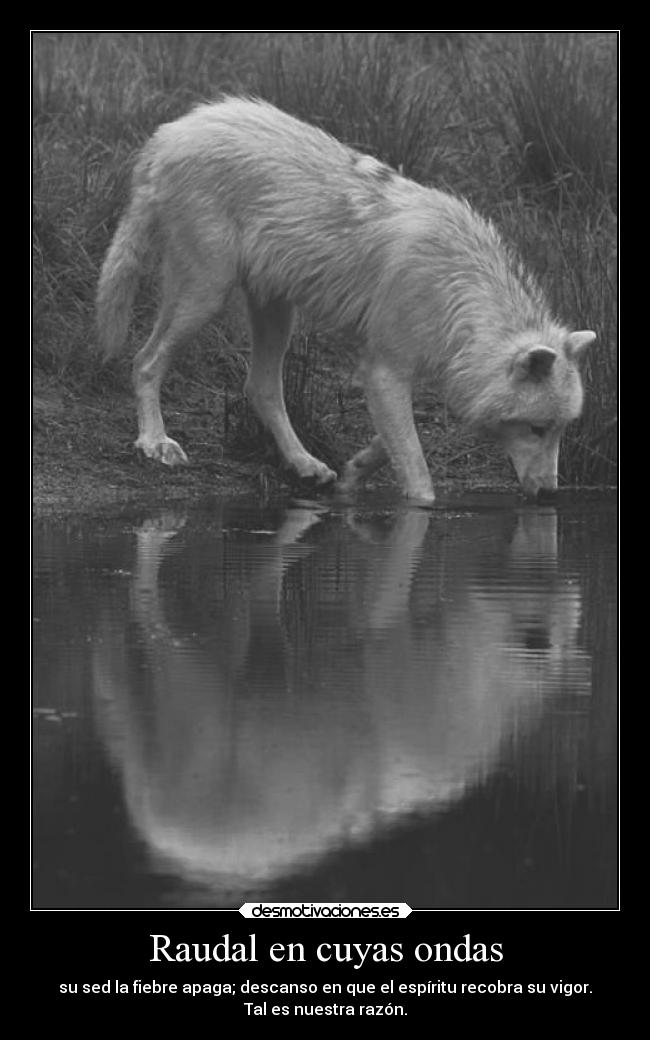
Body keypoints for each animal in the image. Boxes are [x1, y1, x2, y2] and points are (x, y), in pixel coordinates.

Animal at [96, 97, 594, 503]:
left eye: (560, 431)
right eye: (536, 429)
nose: (550, 494)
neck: (454, 286)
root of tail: (170, 132)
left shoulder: (425, 372)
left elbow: (395, 443)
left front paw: (356, 470)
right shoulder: (383, 370)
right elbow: (420, 481)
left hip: (277, 311)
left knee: (260, 387)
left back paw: (305, 464)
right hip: (205, 295)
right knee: (145, 360)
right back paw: (155, 442)